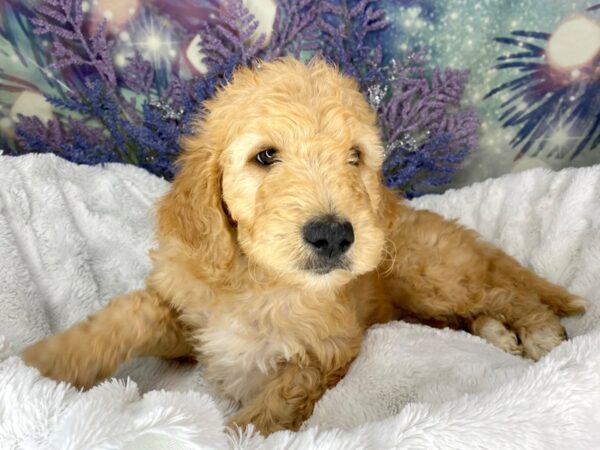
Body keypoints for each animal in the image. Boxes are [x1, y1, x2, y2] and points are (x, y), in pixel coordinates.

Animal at [23, 57, 584, 436]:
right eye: (265, 156)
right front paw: (37, 365)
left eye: (355, 157)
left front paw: (235, 432)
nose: (334, 233)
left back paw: (537, 332)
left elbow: (273, 405)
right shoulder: (183, 306)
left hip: (428, 274)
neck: (257, 280)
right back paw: (499, 333)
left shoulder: (325, 347)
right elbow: (118, 320)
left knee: (503, 292)